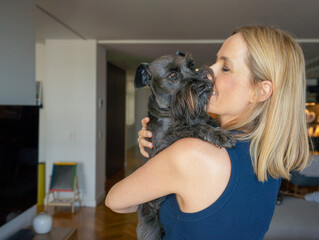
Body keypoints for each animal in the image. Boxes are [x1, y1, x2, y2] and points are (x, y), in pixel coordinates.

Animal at [134, 53, 236, 240]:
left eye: (191, 66)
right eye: (173, 75)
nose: (203, 82)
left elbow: (202, 120)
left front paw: (213, 123)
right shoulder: (160, 151)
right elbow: (188, 129)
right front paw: (218, 134)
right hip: (150, 225)